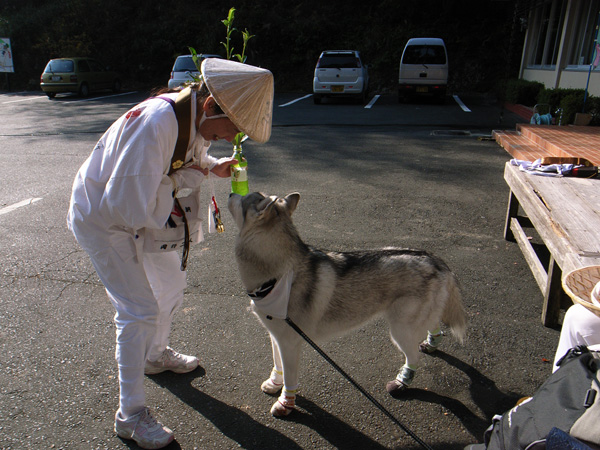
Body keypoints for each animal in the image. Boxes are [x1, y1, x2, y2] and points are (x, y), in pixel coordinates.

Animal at [227, 192, 466, 416]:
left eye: (244, 196)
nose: (229, 194)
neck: (279, 274)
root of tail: (435, 260)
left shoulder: (290, 343)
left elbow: (290, 379)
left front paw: (285, 404)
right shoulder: (276, 336)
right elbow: (278, 365)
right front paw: (274, 383)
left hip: (400, 330)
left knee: (414, 357)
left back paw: (402, 381)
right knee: (433, 323)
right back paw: (432, 342)